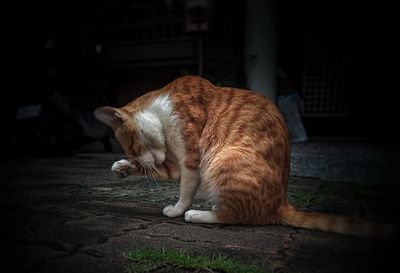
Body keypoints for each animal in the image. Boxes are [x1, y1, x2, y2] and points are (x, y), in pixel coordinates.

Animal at [94, 75, 394, 237]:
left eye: (132, 147)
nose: (135, 159)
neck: (162, 107)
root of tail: (281, 204)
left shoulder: (192, 159)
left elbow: (186, 189)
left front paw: (177, 209)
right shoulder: (176, 163)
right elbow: (166, 172)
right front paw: (122, 168)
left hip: (224, 159)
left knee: (238, 217)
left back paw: (198, 215)